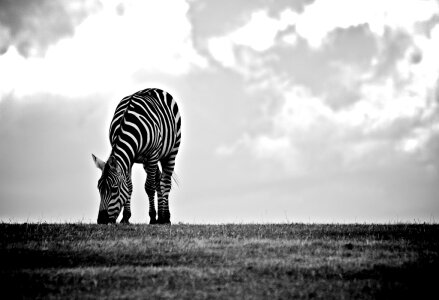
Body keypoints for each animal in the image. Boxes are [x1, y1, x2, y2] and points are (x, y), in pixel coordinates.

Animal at [92, 88, 181, 224]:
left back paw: (165, 217)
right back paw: (161, 217)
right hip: (147, 162)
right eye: (98, 188)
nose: (101, 220)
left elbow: (149, 187)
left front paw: (152, 217)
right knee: (158, 180)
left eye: (114, 189)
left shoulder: (152, 155)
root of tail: (153, 88)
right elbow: (129, 187)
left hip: (171, 152)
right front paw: (126, 217)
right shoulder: (130, 158)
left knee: (165, 182)